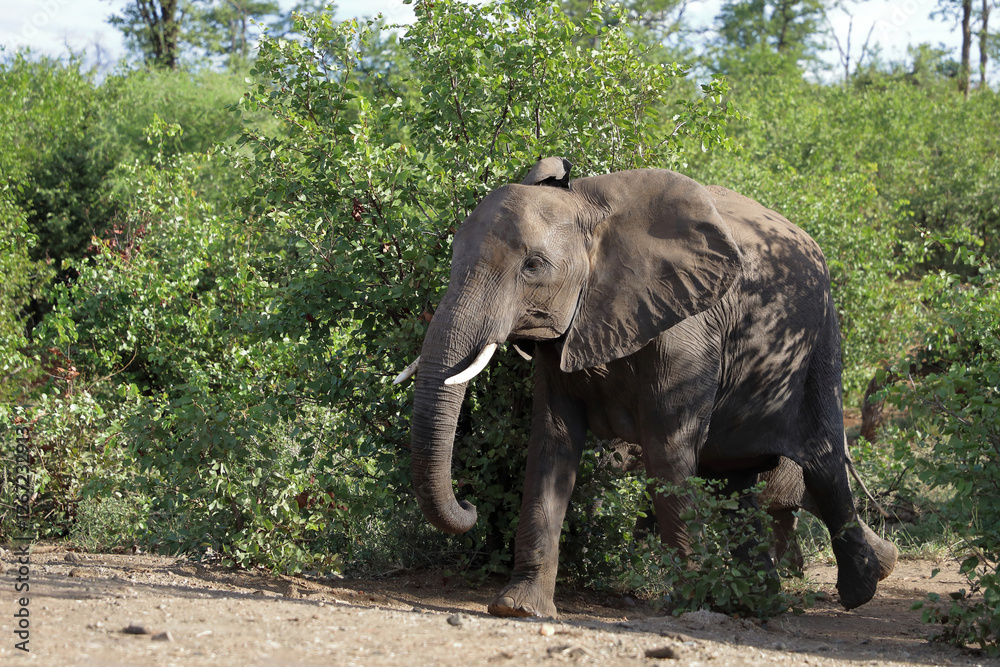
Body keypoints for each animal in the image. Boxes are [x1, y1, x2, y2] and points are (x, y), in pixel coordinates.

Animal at [396, 157, 885, 618]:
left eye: (533, 266)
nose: (470, 506)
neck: (589, 212)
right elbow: (551, 444)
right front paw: (518, 608)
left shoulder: (686, 328)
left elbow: (667, 450)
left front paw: (689, 603)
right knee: (736, 485)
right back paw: (757, 604)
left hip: (820, 335)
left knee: (822, 460)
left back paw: (863, 587)